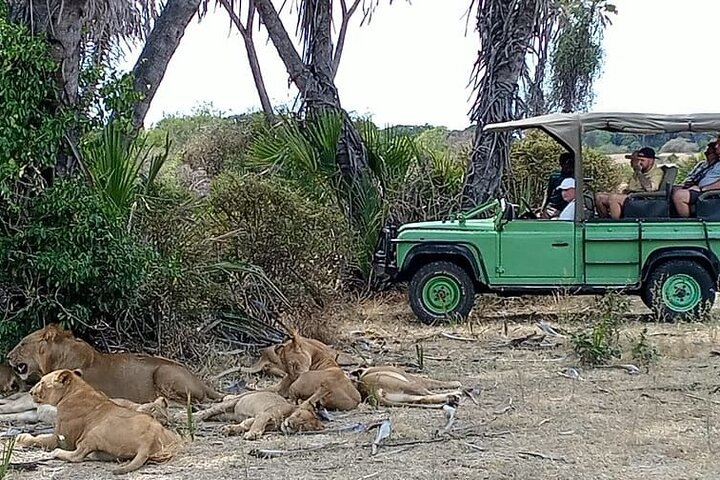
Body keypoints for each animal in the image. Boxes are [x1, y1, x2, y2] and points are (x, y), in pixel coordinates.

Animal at [15, 370, 183, 474]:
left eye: (42, 382)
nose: (30, 392)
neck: (76, 389)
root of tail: (148, 441)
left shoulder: (62, 438)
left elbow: (39, 439)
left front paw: (22, 438)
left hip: (95, 431)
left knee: (77, 455)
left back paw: (57, 453)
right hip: (172, 438)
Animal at [193, 390, 324, 438]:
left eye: (303, 426)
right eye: (298, 416)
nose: (290, 424)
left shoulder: (256, 417)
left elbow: (246, 424)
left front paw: (230, 429)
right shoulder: (264, 414)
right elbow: (258, 424)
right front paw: (253, 434)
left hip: (226, 415)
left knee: (215, 415)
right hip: (232, 402)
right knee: (208, 411)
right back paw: (192, 417)